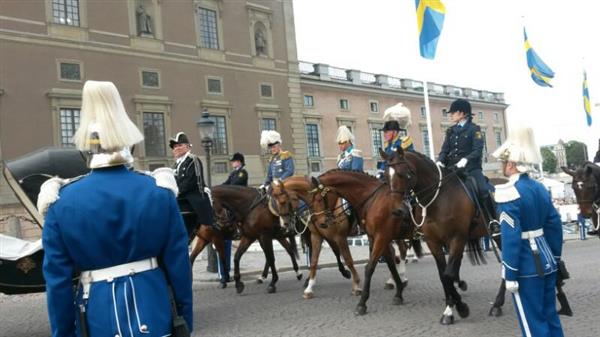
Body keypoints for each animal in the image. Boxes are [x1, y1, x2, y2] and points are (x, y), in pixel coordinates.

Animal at [308, 171, 414, 316]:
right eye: (312, 200)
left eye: (319, 199)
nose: (321, 223)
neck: (373, 200)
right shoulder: (376, 237)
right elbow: (390, 263)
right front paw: (399, 292)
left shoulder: (380, 236)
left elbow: (367, 266)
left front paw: (361, 301)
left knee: (403, 250)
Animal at [384, 146, 488, 322]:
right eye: (386, 176)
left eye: (404, 174)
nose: (397, 211)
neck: (438, 199)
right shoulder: (434, 242)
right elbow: (443, 275)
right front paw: (450, 307)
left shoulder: (457, 238)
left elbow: (448, 275)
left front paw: (461, 308)